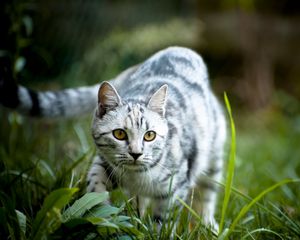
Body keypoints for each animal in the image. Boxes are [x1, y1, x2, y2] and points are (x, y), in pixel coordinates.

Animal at [0, 46, 226, 232]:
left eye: (149, 135)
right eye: (119, 134)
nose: (136, 153)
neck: (138, 177)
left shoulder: (176, 186)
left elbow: (164, 219)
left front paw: (154, 232)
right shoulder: (104, 164)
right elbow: (94, 183)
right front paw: (106, 216)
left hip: (214, 157)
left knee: (208, 194)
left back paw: (209, 225)